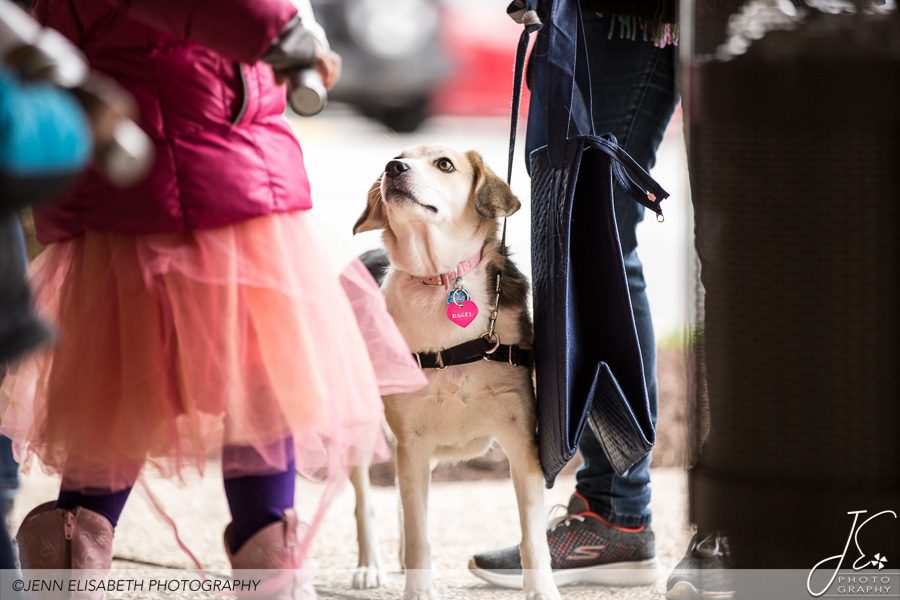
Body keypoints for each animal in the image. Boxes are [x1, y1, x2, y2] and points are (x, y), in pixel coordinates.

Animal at [354, 145, 560, 600]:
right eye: (396, 158)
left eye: (444, 164)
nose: (392, 168)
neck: (441, 280)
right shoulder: (412, 442)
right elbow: (419, 536)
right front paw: (418, 591)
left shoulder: (521, 438)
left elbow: (532, 537)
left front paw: (541, 591)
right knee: (367, 502)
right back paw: (369, 566)